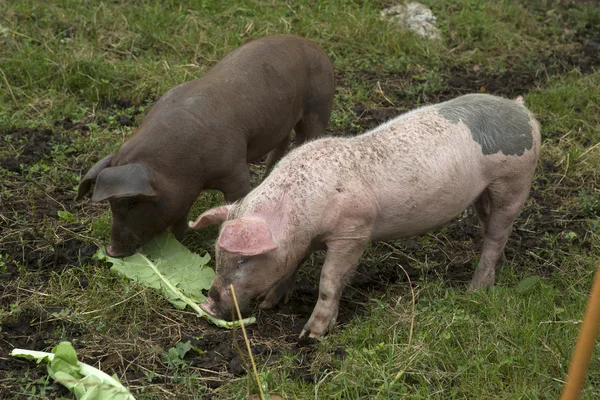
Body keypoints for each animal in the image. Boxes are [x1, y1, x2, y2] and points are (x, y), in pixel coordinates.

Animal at [74, 36, 336, 258]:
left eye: (131, 203)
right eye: (111, 205)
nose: (111, 251)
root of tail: (314, 45)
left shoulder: (235, 171)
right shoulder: (180, 194)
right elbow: (178, 217)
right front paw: (177, 244)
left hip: (319, 105)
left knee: (306, 137)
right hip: (281, 121)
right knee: (280, 145)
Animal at [190, 94, 540, 340]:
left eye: (243, 260)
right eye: (217, 253)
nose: (208, 303)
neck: (300, 215)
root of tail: (520, 109)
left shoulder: (354, 231)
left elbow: (330, 279)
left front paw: (310, 335)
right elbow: (293, 267)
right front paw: (269, 303)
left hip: (515, 180)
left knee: (497, 234)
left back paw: (474, 291)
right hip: (484, 192)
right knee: (489, 226)